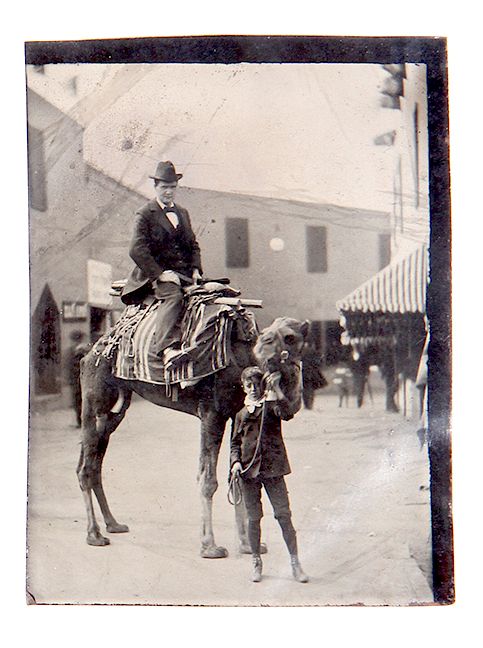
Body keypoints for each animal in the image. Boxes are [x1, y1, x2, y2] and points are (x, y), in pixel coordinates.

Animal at [75, 306, 310, 560]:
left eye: (292, 337)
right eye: (279, 336)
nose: (267, 352)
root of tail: (89, 353)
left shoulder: (234, 415)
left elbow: (235, 474)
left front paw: (247, 546)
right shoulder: (211, 414)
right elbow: (207, 480)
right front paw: (210, 547)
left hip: (115, 410)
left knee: (92, 463)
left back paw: (113, 524)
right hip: (95, 398)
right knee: (86, 467)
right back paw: (94, 535)